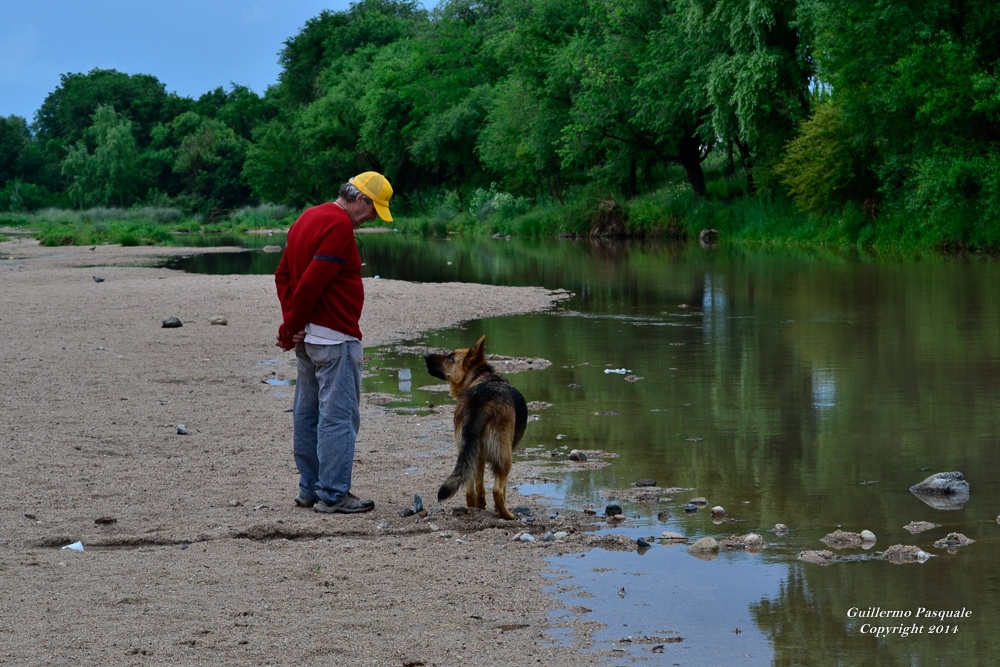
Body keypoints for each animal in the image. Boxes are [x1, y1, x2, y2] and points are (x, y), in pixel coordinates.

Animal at [424, 336, 528, 520]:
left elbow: (479, 486)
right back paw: (507, 515)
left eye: (451, 356)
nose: (426, 356)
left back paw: (474, 507)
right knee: (497, 491)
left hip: (468, 452)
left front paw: (480, 505)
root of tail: (480, 401)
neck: (481, 378)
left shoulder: (479, 456)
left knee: (469, 488)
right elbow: (503, 489)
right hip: (504, 457)